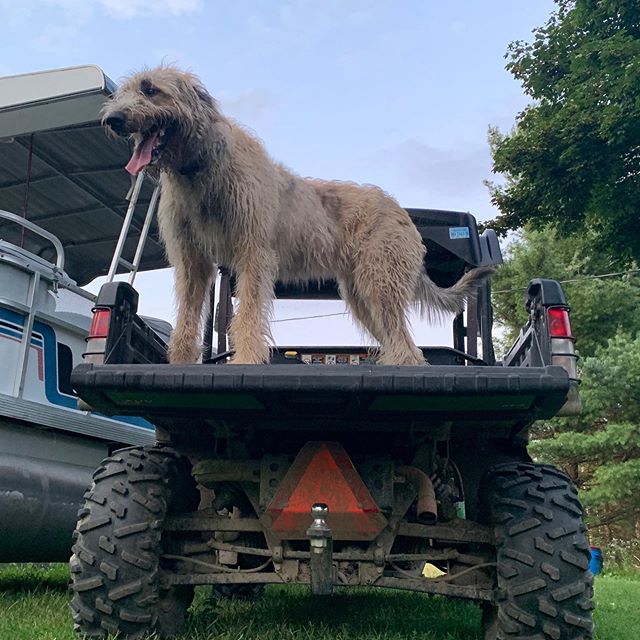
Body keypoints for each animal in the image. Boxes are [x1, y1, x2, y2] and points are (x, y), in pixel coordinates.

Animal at [101, 67, 490, 364]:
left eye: (151, 89)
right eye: (125, 91)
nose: (112, 119)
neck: (198, 168)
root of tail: (402, 213)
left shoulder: (253, 255)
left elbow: (246, 317)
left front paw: (245, 361)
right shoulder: (193, 262)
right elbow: (186, 319)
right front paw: (180, 362)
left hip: (380, 283)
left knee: (408, 348)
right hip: (363, 294)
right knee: (399, 344)